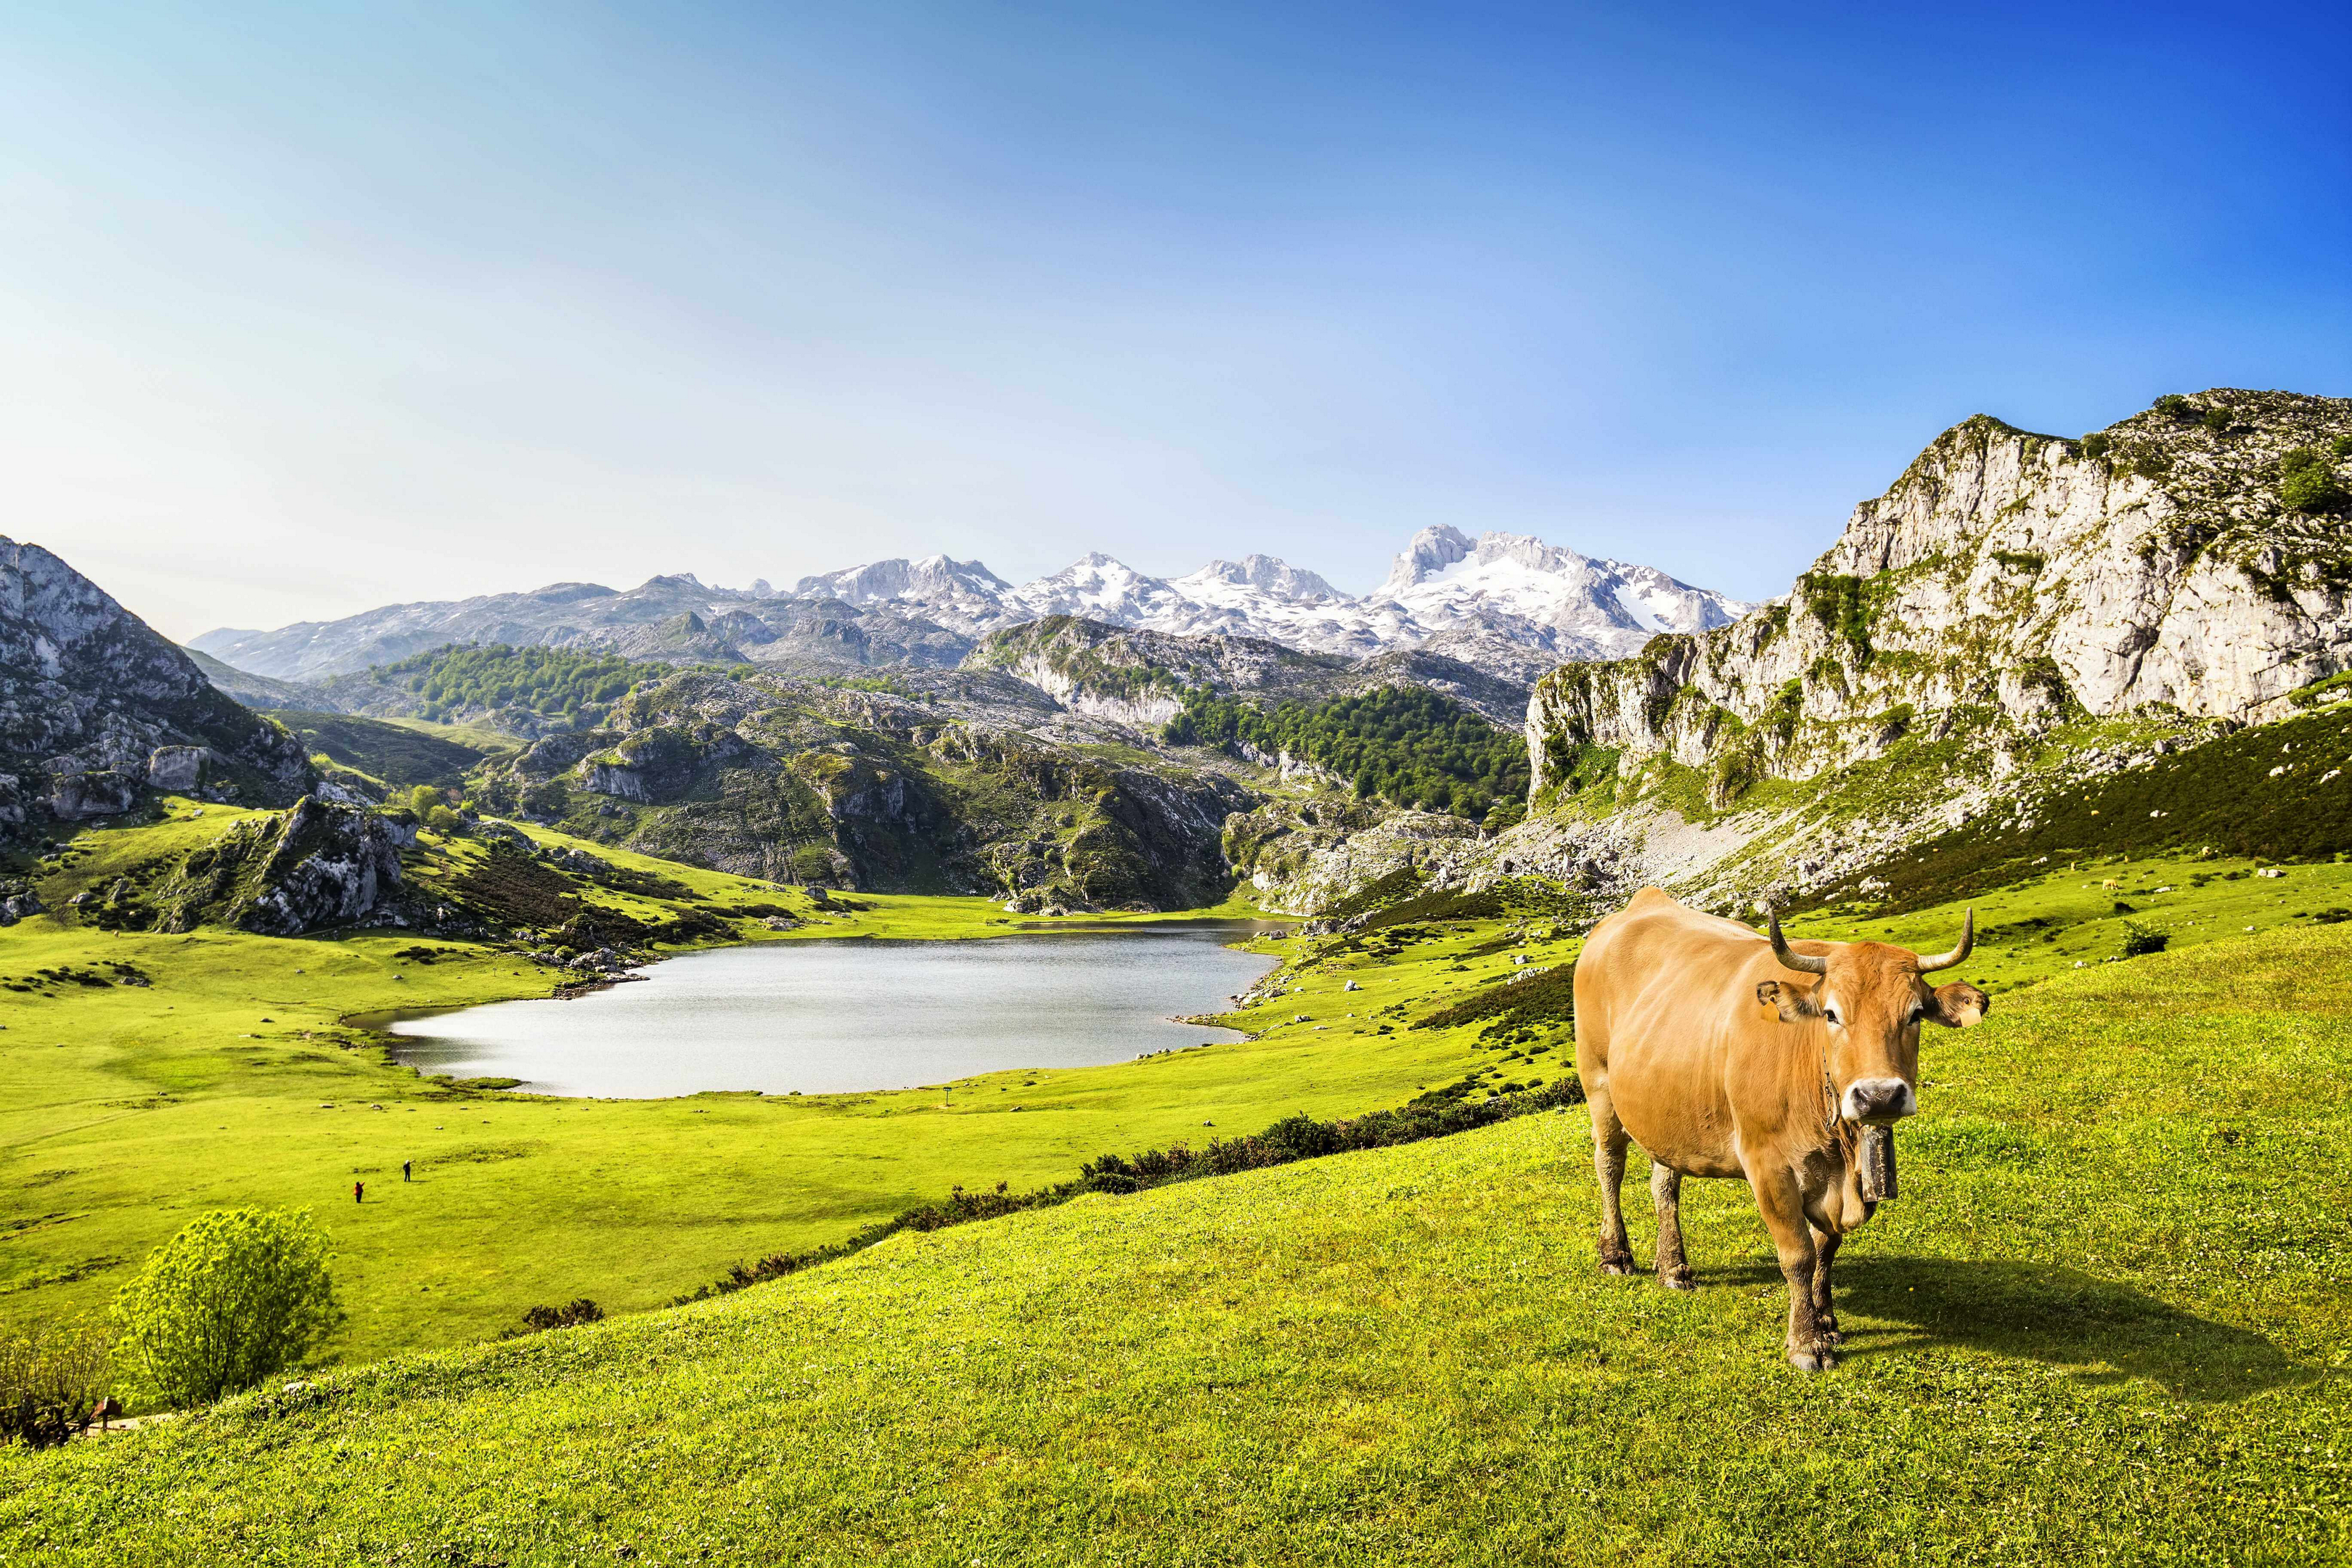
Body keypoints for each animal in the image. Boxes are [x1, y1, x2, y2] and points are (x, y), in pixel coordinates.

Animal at [1580, 889, 1985, 1363]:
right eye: (1831, 1015)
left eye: (1916, 1014)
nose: (1880, 1095)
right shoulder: (1766, 1164)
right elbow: (1798, 1253)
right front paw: (1806, 1341)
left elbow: (1826, 1247)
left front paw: (1826, 1320)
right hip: (1599, 1086)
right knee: (1610, 1166)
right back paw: (1615, 1255)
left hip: (1667, 1110)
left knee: (1665, 1184)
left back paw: (1674, 1266)